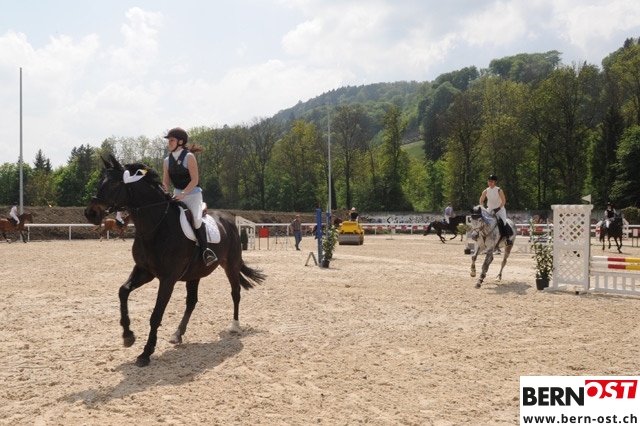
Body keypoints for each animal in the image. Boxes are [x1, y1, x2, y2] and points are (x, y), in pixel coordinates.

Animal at [84, 156, 266, 367]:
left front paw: (146, 352)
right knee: (192, 301)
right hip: (195, 273)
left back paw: (235, 326)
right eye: (99, 182)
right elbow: (123, 291)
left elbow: (156, 315)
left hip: (231, 265)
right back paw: (178, 334)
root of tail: (228, 220)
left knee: (235, 293)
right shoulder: (144, 271)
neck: (156, 226)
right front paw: (128, 335)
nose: (90, 213)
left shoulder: (167, 278)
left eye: (113, 184)